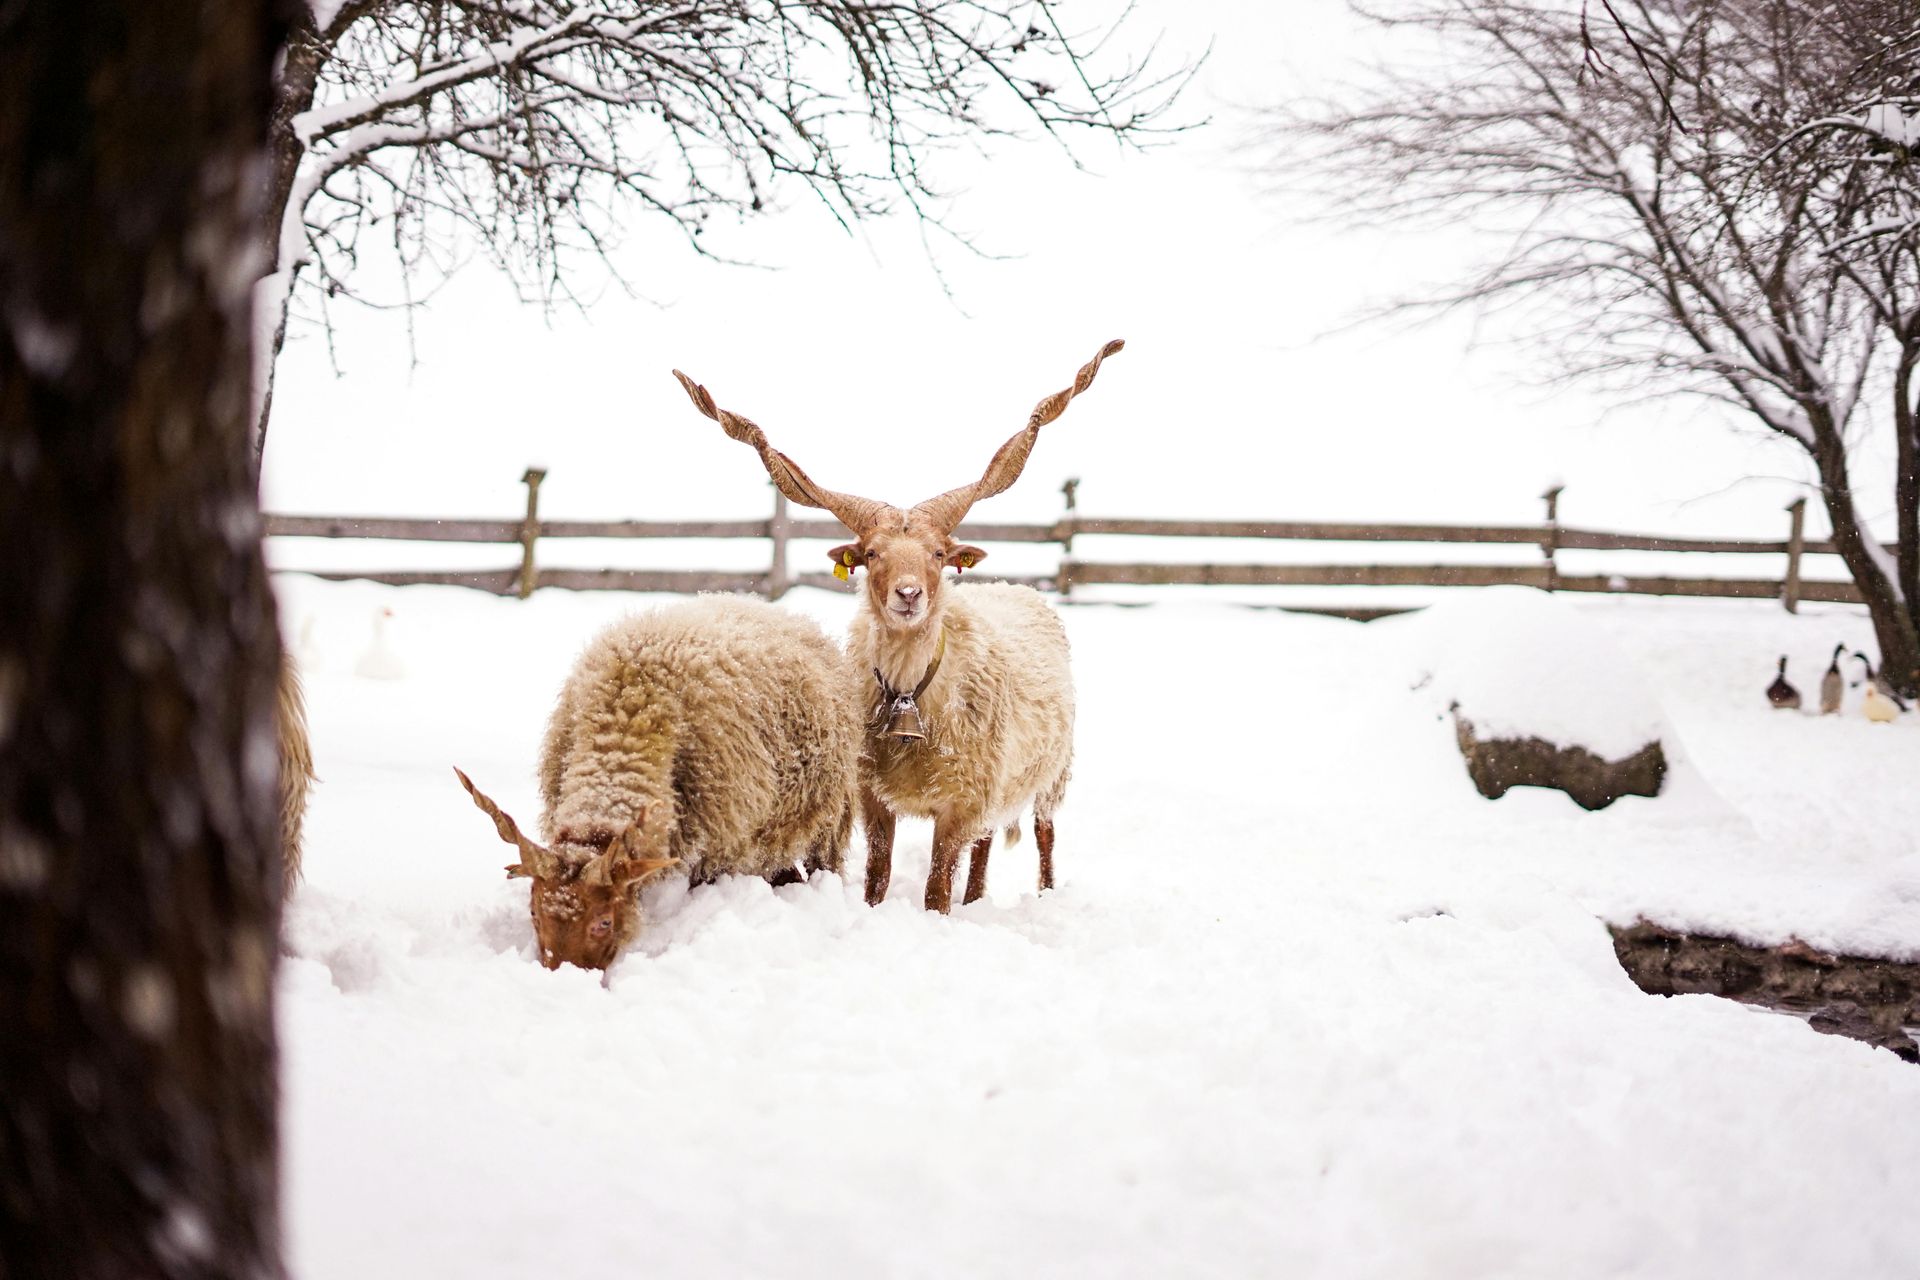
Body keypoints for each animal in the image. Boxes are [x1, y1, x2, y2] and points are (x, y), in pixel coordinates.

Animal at [455, 596, 861, 970]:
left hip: (830, 816)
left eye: (604, 922)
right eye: (534, 913)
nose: (562, 977)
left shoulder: (718, 849)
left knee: (823, 865)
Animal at [672, 340, 1122, 913]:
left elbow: (936, 884)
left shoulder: (959, 799)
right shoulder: (875, 795)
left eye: (938, 553)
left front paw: (938, 917)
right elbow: (878, 873)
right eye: (870, 553)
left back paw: (1042, 895)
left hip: (1052, 772)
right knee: (985, 846)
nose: (908, 595)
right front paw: (876, 909)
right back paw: (975, 901)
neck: (912, 694)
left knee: (1043, 834)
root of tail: (1008, 587)